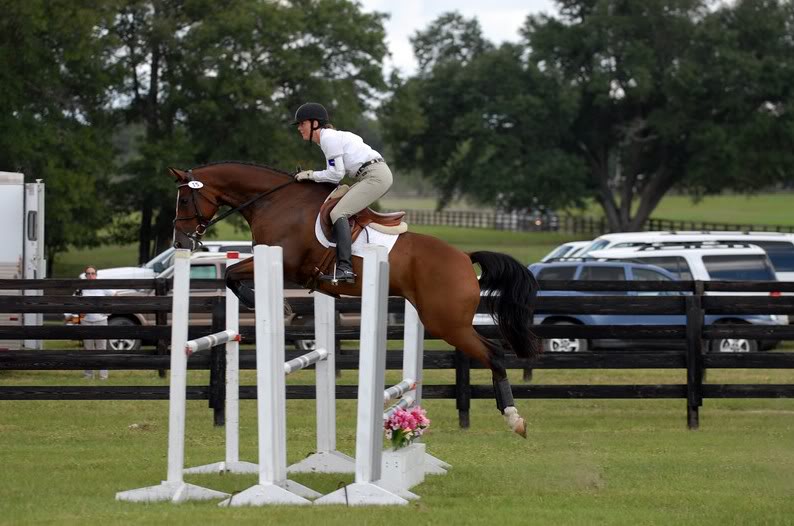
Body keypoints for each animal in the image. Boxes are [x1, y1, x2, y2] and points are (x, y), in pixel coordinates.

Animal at [167, 161, 540, 438]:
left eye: (184, 201)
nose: (181, 243)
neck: (274, 202)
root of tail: (464, 257)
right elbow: (231, 275)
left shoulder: (284, 263)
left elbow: (231, 274)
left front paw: (267, 303)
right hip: (446, 321)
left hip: (446, 323)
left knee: (494, 353)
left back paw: (514, 418)